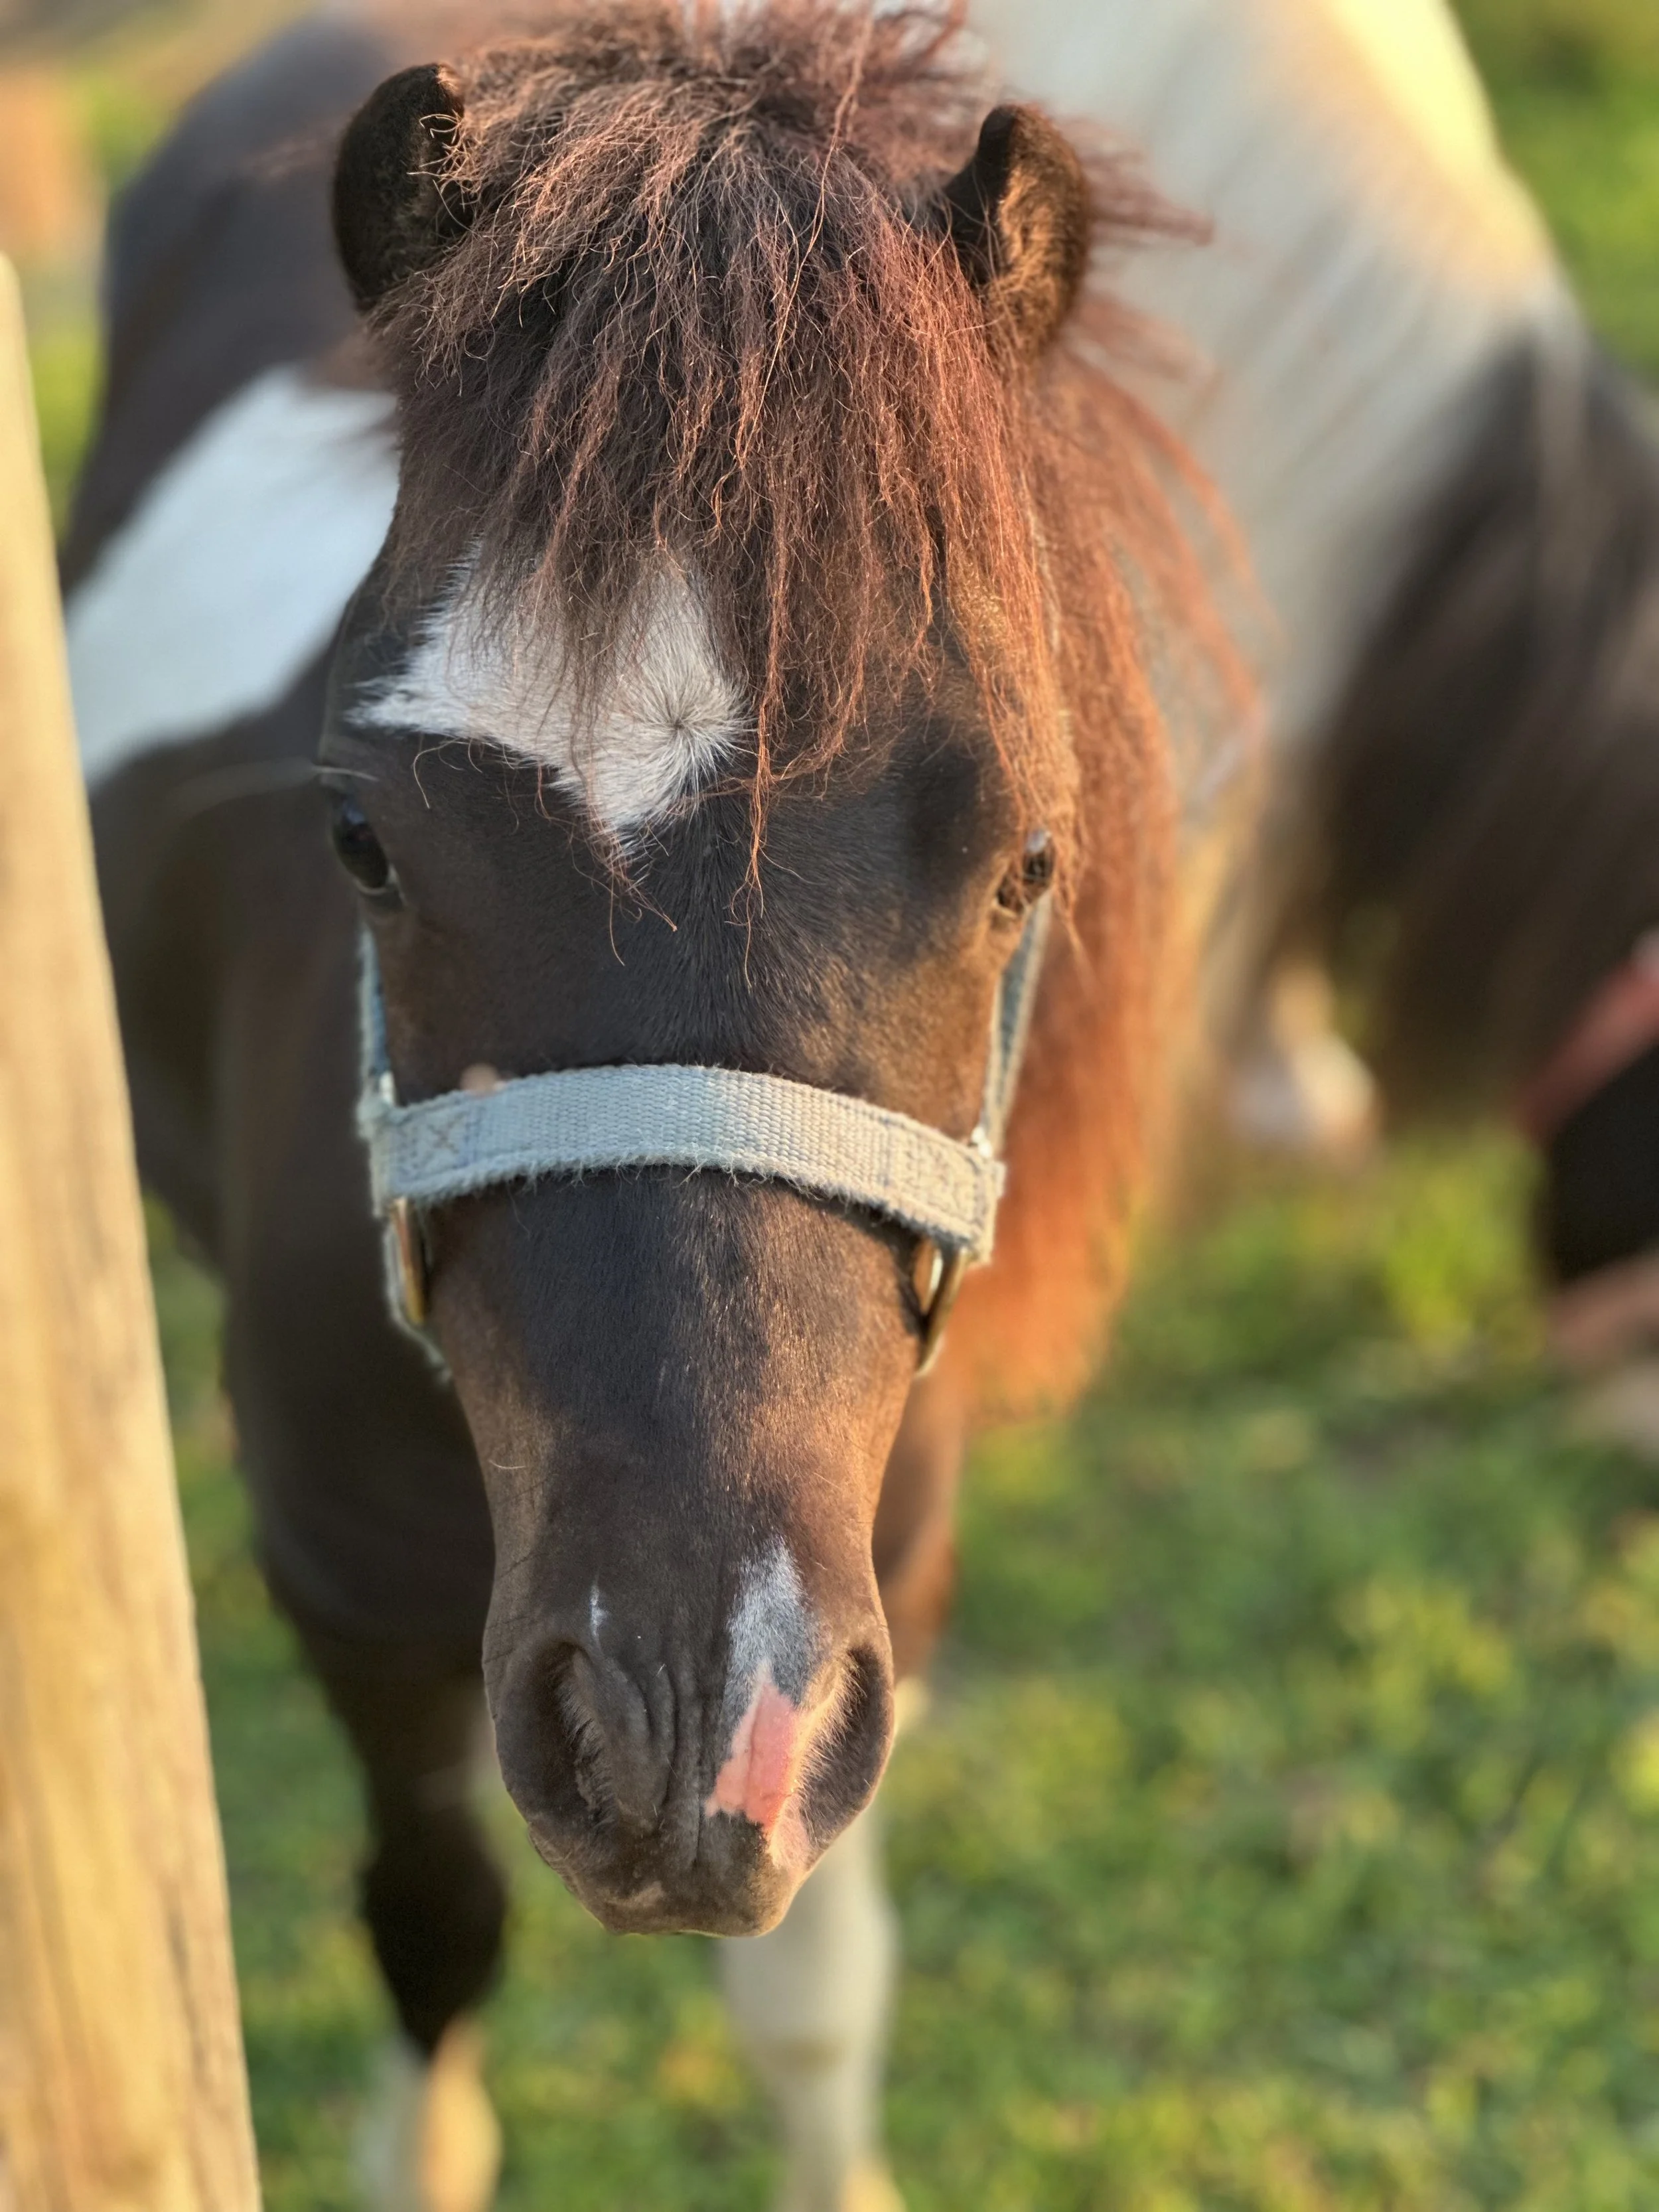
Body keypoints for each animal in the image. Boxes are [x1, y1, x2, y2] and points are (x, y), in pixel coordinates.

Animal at [64, 3, 1219, 2204]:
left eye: (1024, 859)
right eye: (361, 837)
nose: (691, 1718)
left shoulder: (882, 1603)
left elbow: (811, 1997)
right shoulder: (342, 1595)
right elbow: (433, 1920)